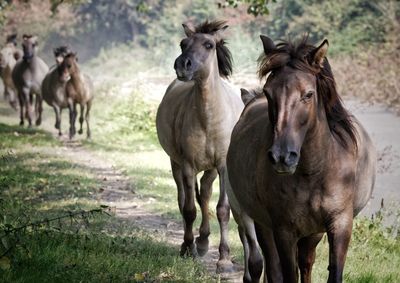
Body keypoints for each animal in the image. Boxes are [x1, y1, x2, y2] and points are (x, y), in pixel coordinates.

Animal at [156, 21, 244, 274]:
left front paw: (224, 260)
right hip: (176, 165)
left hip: (211, 169)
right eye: (183, 43)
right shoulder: (187, 166)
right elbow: (189, 209)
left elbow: (222, 210)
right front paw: (188, 248)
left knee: (204, 193)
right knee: (184, 199)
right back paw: (193, 243)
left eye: (209, 45)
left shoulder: (223, 167)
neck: (208, 117)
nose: (182, 65)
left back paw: (204, 241)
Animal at [227, 36, 376, 282]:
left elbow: (331, 272)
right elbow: (287, 273)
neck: (314, 173)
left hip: (312, 233)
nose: (282, 157)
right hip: (264, 225)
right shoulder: (283, 230)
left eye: (308, 94)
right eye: (269, 93)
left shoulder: (340, 224)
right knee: (273, 267)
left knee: (305, 262)